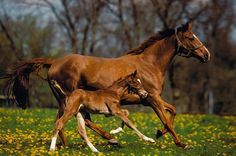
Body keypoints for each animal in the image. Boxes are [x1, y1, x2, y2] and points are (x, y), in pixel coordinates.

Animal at [3, 22, 210, 149]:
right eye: (191, 37)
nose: (206, 54)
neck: (149, 64)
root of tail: (54, 62)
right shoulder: (152, 98)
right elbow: (166, 119)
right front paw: (181, 143)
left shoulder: (150, 99)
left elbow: (173, 111)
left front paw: (159, 133)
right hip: (72, 99)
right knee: (80, 120)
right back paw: (111, 139)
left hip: (65, 101)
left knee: (64, 120)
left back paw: (67, 144)